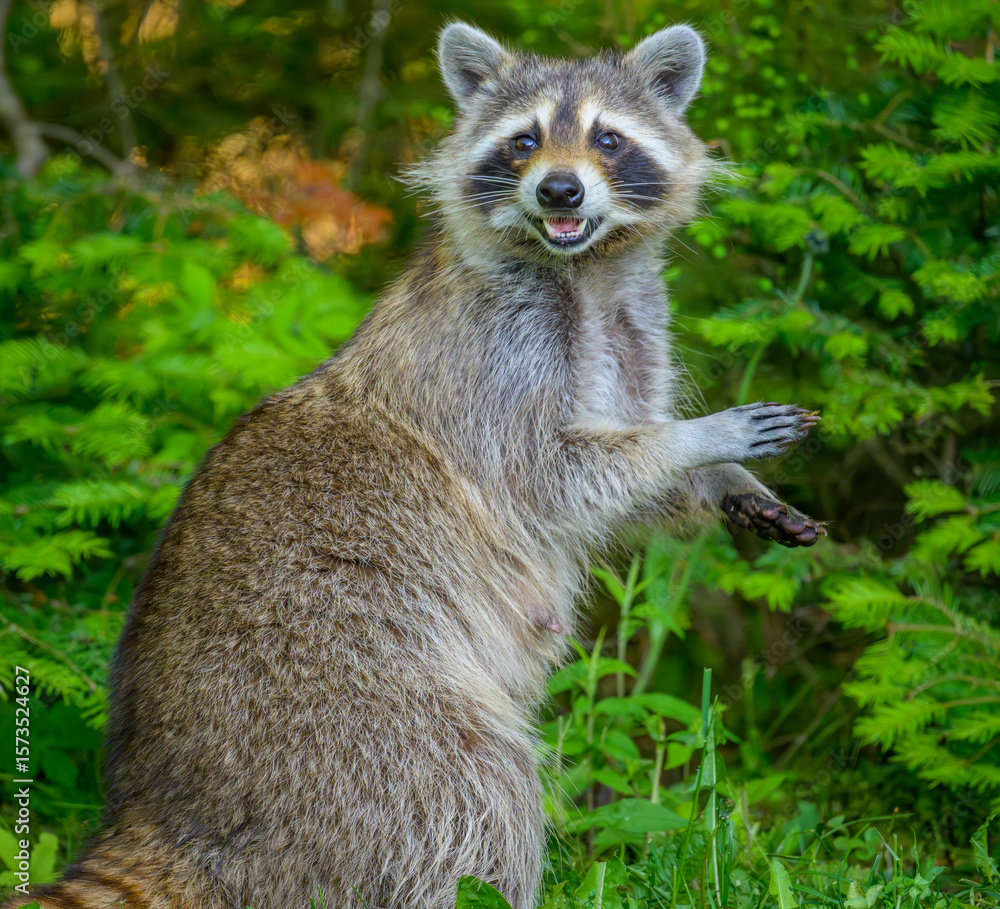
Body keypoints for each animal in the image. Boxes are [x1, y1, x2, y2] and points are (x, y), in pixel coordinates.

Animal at [5, 22, 823, 909]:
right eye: (524, 140)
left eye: (609, 139)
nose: (560, 192)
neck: (587, 269)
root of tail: (164, 814)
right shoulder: (490, 362)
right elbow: (555, 476)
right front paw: (703, 438)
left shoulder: (636, 330)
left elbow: (626, 474)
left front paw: (729, 485)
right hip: (343, 709)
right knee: (474, 786)